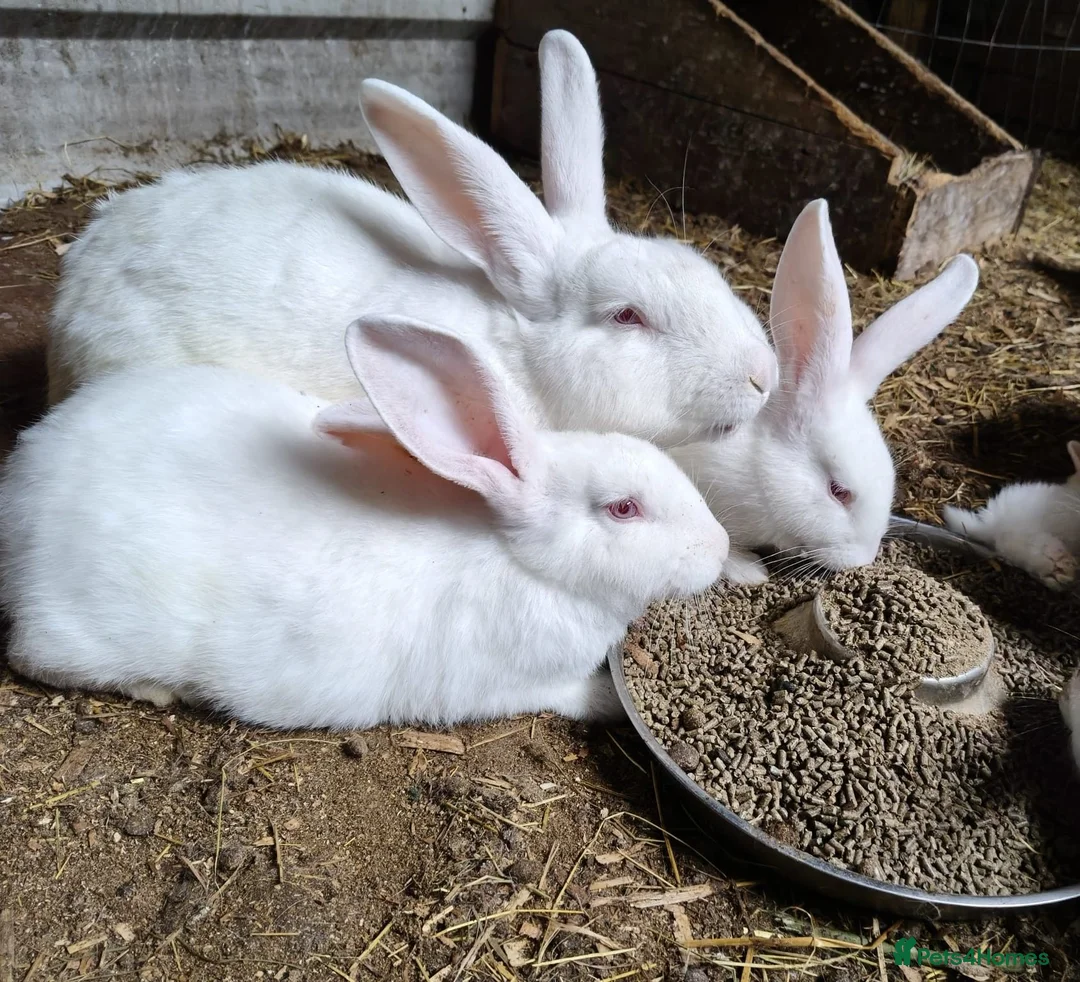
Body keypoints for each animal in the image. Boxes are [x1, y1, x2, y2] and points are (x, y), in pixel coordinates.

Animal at [2, 315, 729, 729]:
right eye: (623, 508)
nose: (720, 549)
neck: (519, 560)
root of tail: (20, 499)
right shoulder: (506, 683)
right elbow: (572, 696)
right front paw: (609, 703)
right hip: (85, 629)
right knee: (33, 656)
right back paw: (155, 690)